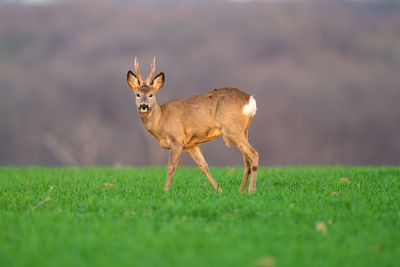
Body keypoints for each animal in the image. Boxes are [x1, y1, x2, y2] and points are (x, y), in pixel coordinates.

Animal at [126, 57, 260, 194]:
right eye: (137, 94)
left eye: (151, 94)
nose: (143, 105)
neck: (160, 120)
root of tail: (250, 100)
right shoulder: (191, 144)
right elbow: (203, 165)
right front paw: (219, 190)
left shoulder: (177, 140)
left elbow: (171, 167)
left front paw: (165, 191)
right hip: (243, 130)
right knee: (246, 159)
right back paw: (241, 191)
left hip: (232, 128)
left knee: (253, 154)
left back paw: (251, 191)